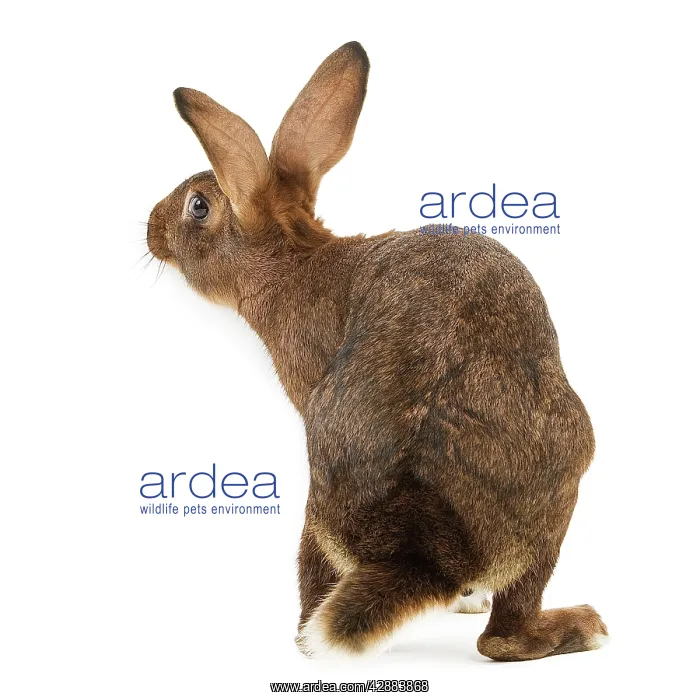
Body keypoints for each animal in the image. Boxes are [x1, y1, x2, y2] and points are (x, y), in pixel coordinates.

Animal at [147, 41, 608, 661]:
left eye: (197, 206)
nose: (149, 229)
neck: (290, 262)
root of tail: (421, 552)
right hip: (556, 498)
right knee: (502, 637)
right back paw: (571, 623)